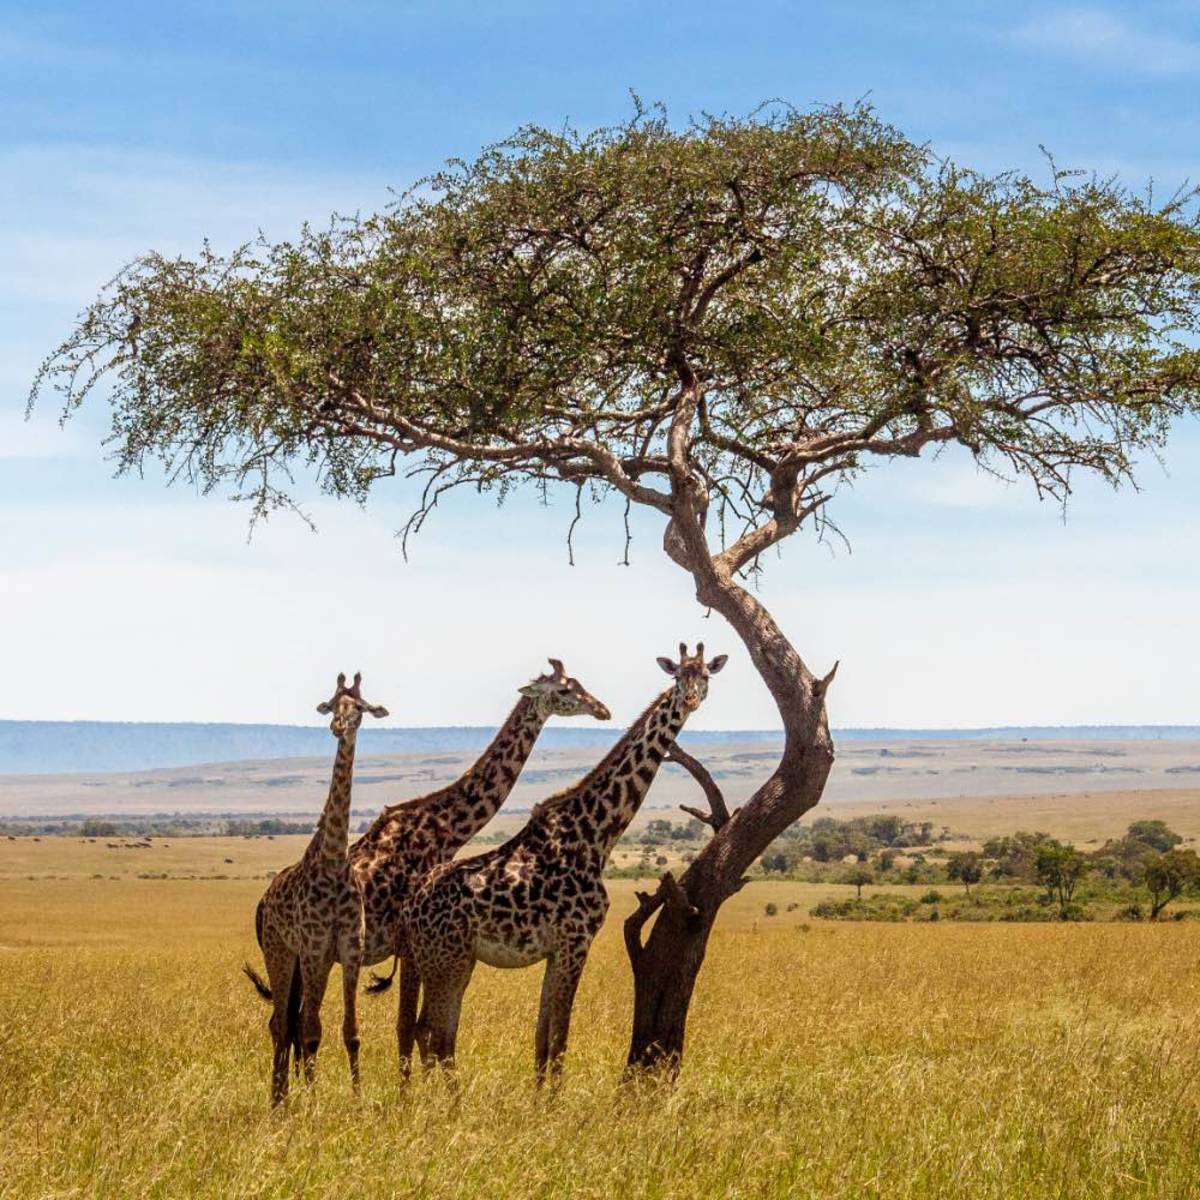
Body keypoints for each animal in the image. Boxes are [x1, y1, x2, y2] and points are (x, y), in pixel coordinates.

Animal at [242, 671, 388, 1106]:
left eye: (360, 708)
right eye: (331, 705)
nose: (338, 726)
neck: (334, 864)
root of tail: (262, 903)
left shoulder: (348, 950)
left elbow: (350, 1032)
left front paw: (357, 1101)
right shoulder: (312, 947)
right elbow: (310, 1031)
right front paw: (312, 1101)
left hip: (311, 962)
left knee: (294, 1020)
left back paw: (285, 1095)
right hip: (280, 951)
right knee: (282, 1023)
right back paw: (279, 1100)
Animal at [349, 658, 611, 1076]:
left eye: (580, 684)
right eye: (564, 691)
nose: (601, 709)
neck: (444, 827)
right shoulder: (410, 943)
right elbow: (409, 1026)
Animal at [403, 643, 726, 1083]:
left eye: (705, 676)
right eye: (678, 676)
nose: (691, 699)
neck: (597, 833)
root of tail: (411, 907)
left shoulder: (556, 950)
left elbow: (542, 1039)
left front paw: (539, 1096)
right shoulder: (577, 940)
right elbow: (560, 1037)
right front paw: (554, 1099)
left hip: (451, 959)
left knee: (431, 1032)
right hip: (446, 958)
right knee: (436, 1035)